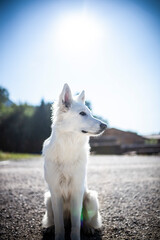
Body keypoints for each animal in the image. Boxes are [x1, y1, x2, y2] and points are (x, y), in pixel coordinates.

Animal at [42, 83, 107, 239]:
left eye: (89, 113)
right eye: (82, 114)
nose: (105, 125)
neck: (68, 147)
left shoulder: (77, 190)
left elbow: (77, 223)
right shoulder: (55, 191)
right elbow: (59, 223)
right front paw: (59, 236)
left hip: (91, 197)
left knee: (87, 220)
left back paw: (89, 228)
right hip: (48, 199)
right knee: (54, 220)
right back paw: (50, 228)